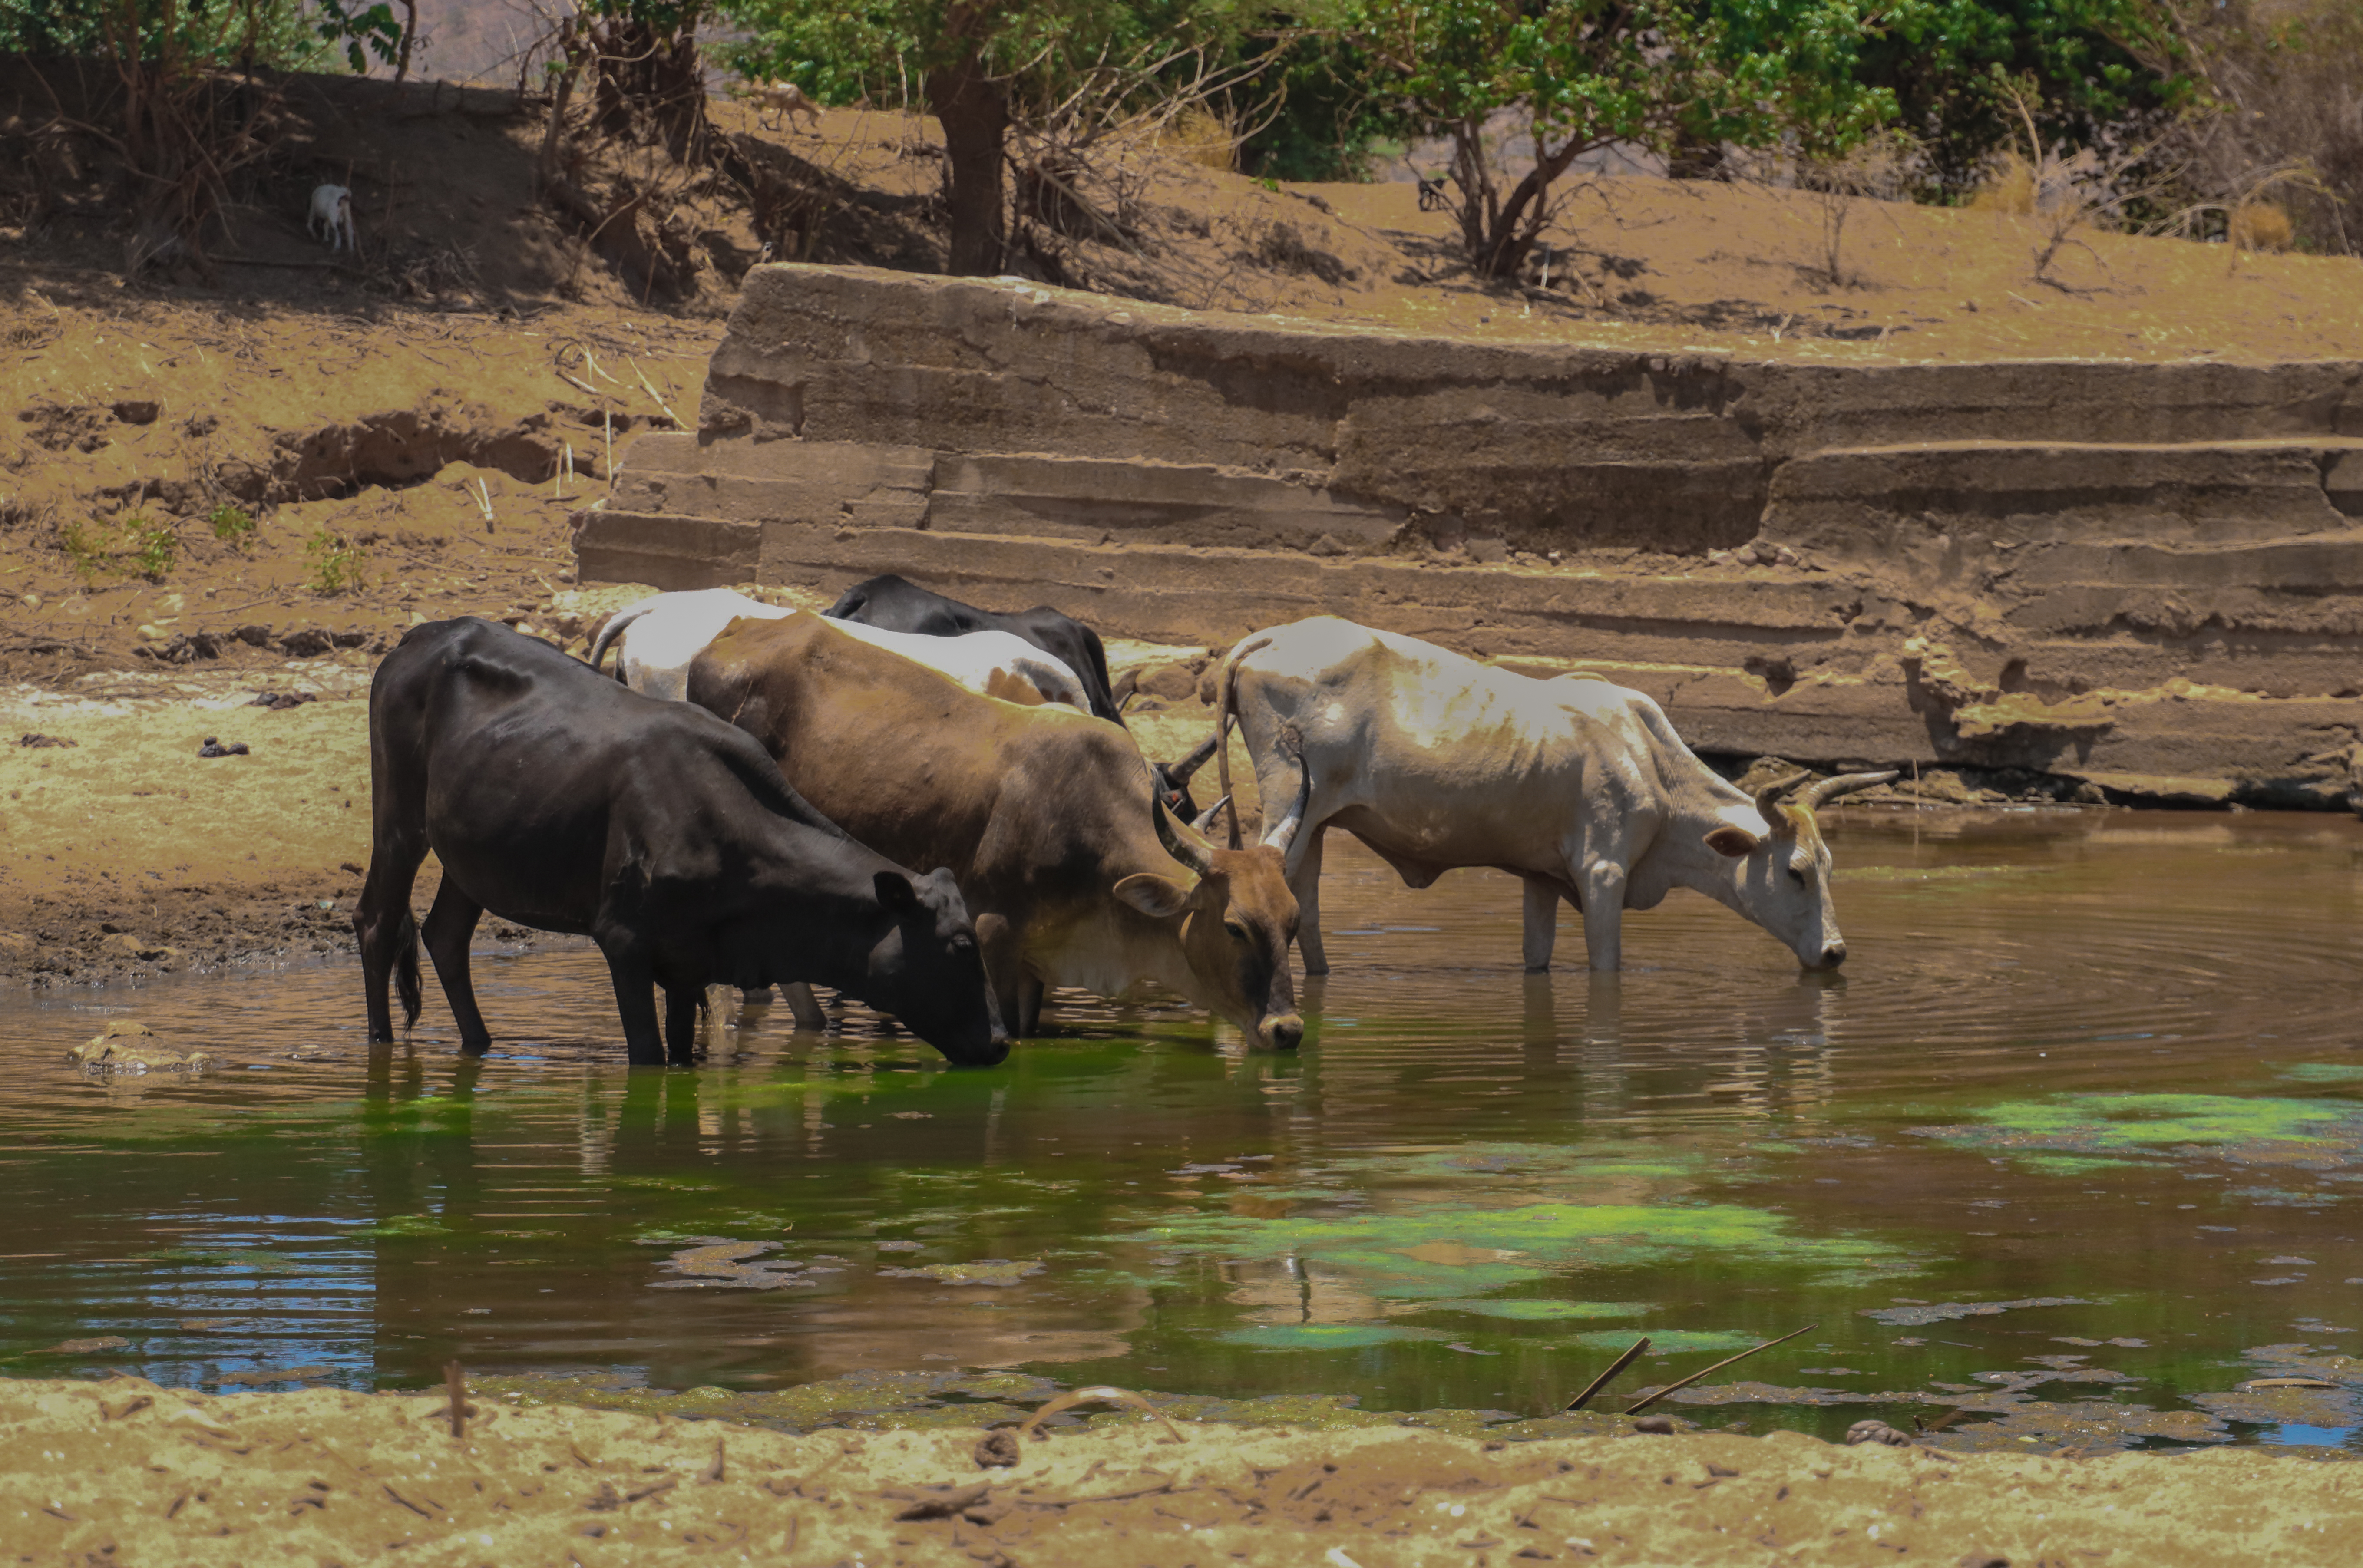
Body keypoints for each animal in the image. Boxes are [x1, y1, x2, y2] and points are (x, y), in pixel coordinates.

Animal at [353, 617, 1004, 1066]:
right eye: (960, 944)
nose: (1000, 1042)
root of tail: (423, 634)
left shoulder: (692, 962)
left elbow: (681, 1055)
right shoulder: (624, 942)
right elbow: (648, 1055)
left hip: (472, 853)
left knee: (445, 935)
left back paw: (480, 1043)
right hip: (398, 820)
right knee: (377, 922)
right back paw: (380, 1044)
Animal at [685, 612, 1310, 1048]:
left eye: (1292, 922)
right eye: (1233, 927)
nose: (1287, 1029)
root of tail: (734, 630)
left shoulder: (1037, 965)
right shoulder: (994, 937)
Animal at [1212, 616, 1895, 974]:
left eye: (1829, 865)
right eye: (1796, 870)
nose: (1835, 952)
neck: (1650, 764)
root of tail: (1269, 637)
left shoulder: (1539, 878)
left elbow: (1535, 958)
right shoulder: (1602, 872)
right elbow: (1605, 965)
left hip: (1316, 824)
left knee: (1308, 905)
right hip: (1290, 809)